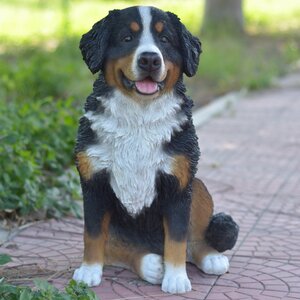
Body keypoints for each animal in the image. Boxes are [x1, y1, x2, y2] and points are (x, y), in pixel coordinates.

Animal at [72, 5, 239, 294]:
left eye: (165, 40)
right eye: (127, 38)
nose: (150, 59)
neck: (139, 116)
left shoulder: (178, 183)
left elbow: (177, 237)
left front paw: (176, 278)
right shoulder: (94, 181)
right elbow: (92, 236)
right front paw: (89, 271)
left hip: (198, 186)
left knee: (194, 240)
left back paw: (210, 257)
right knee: (116, 248)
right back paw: (149, 264)